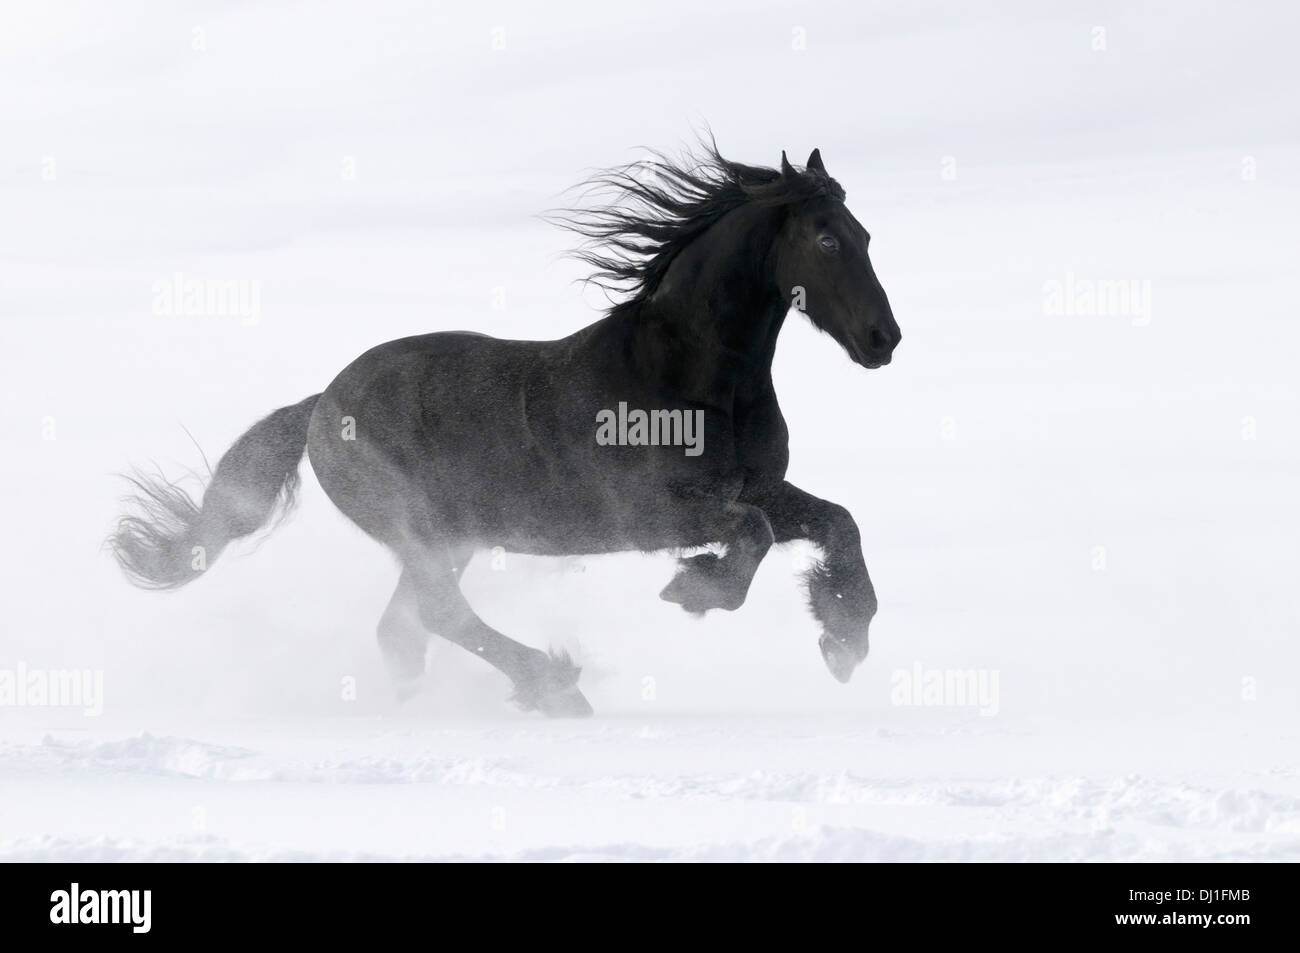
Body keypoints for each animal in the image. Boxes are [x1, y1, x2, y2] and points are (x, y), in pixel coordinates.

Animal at [111, 144, 899, 717]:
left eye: (864, 234)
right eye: (826, 239)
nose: (883, 339)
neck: (691, 380)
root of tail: (318, 408)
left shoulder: (756, 485)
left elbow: (839, 522)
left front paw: (844, 638)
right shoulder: (653, 513)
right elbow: (755, 535)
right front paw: (696, 590)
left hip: (450, 538)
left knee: (406, 628)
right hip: (421, 530)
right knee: (439, 615)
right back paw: (556, 686)